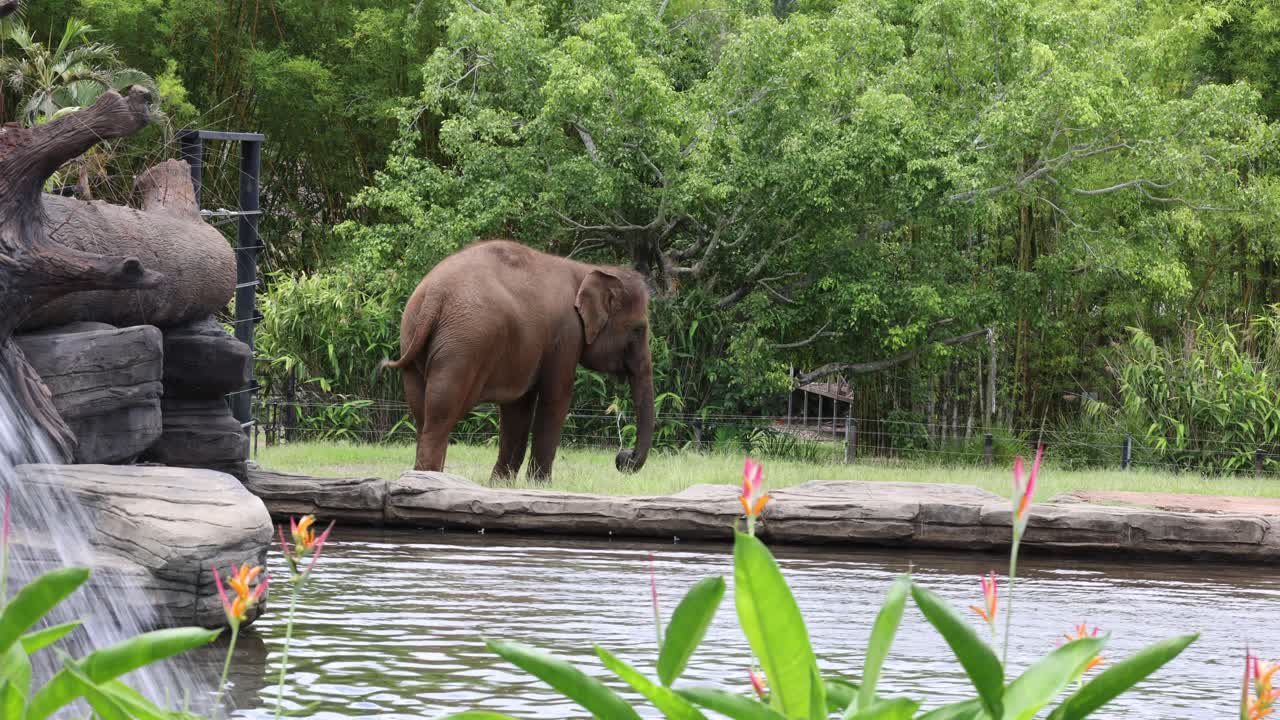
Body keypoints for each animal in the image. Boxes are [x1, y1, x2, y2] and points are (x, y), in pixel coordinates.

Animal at [381, 239, 655, 481]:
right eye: (638, 329)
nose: (623, 457)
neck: (585, 269)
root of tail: (433, 296)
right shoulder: (566, 334)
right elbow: (556, 398)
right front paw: (541, 485)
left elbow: (518, 408)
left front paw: (500, 484)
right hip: (462, 347)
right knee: (441, 414)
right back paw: (429, 478)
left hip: (412, 336)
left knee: (421, 413)